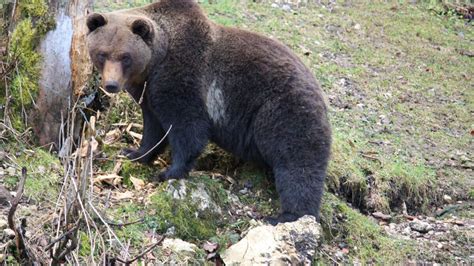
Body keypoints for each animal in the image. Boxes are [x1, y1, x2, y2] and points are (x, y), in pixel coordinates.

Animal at [86, 0, 330, 224]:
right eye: (102, 54)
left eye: (125, 56)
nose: (111, 84)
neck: (155, 63)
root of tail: (318, 89)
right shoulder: (149, 94)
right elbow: (154, 129)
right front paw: (134, 152)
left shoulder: (181, 79)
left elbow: (188, 128)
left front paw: (169, 172)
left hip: (283, 111)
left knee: (297, 161)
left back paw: (288, 215)